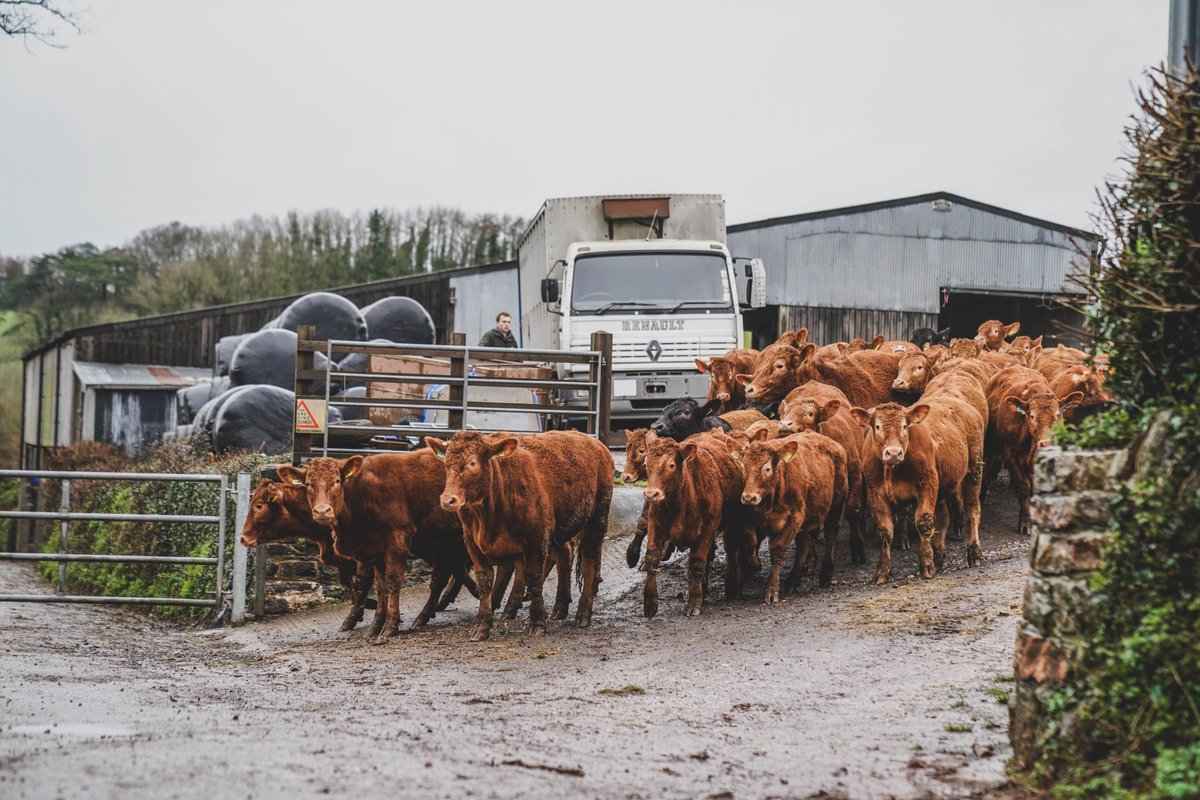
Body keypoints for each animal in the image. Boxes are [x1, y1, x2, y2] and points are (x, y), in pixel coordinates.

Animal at [277, 450, 472, 642]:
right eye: (308, 484)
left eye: (337, 481)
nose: (322, 511)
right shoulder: (376, 550)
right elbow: (381, 587)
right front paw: (375, 627)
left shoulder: (397, 540)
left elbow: (393, 581)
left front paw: (390, 626)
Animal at [432, 429, 609, 642]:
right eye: (446, 463)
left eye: (472, 463)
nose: (447, 500)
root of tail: (594, 442)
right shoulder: (472, 542)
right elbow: (485, 581)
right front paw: (482, 626)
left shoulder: (536, 539)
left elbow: (533, 577)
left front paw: (538, 623)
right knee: (565, 555)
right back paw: (560, 606)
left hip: (596, 519)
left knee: (590, 562)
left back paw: (583, 614)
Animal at [643, 434, 744, 618]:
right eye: (646, 464)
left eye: (671, 465)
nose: (651, 494)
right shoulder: (655, 523)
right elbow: (652, 559)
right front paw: (650, 602)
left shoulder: (709, 527)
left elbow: (697, 562)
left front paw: (695, 601)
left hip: (733, 523)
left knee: (730, 551)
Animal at [724, 431, 849, 599]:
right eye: (743, 466)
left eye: (767, 469)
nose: (749, 497)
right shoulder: (747, 518)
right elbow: (750, 543)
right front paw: (755, 564)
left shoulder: (795, 518)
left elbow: (778, 549)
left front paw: (771, 589)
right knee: (803, 545)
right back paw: (793, 581)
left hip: (836, 506)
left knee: (830, 535)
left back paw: (825, 576)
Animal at [988, 367, 1084, 532]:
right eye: (1032, 416)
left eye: (1057, 415)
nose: (1047, 444)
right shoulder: (1010, 455)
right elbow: (1024, 486)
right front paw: (1025, 522)